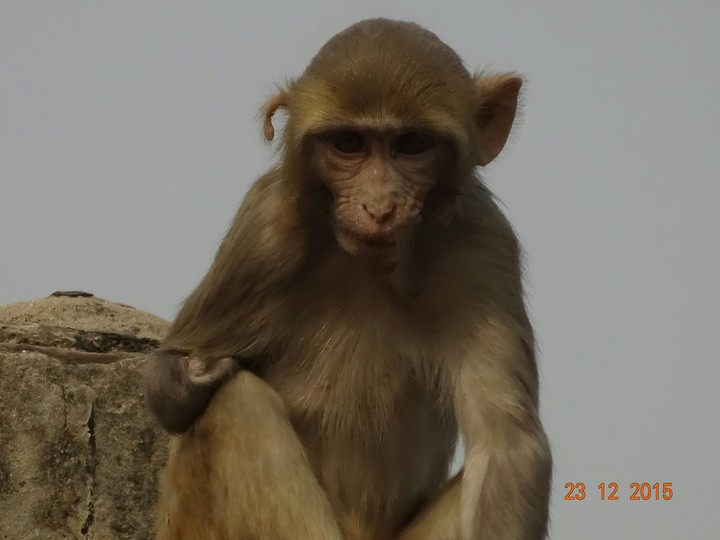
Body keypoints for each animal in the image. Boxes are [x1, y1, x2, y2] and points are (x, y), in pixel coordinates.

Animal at [143, 17, 552, 540]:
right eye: (349, 144)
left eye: (411, 145)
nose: (379, 207)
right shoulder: (262, 233)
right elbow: (169, 372)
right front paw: (195, 372)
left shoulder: (483, 245)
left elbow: (507, 446)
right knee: (234, 400)